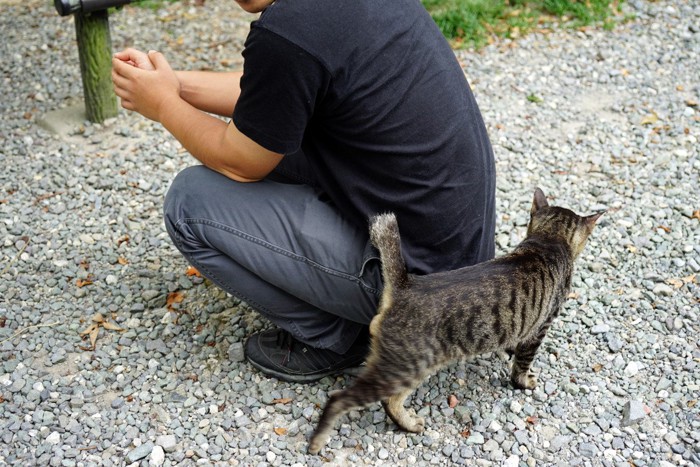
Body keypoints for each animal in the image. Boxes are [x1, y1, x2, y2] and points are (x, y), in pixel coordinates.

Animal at [308, 188, 604, 456]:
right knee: (359, 400)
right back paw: (327, 439)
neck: (548, 240)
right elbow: (523, 363)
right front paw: (524, 381)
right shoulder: (541, 327)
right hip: (408, 367)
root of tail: (406, 285)